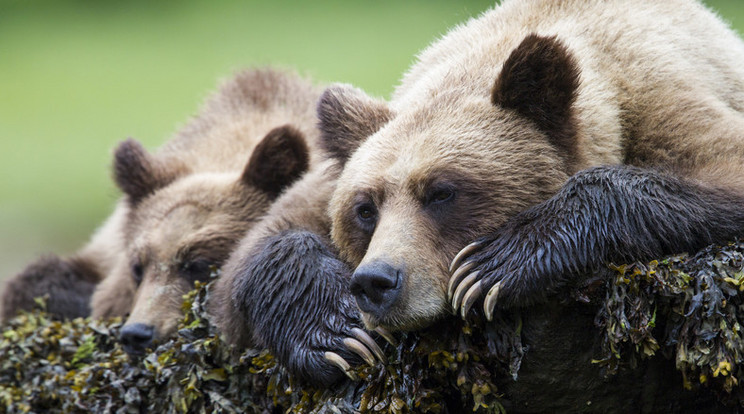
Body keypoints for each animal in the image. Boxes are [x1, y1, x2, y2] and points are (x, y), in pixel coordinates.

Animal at [222, 0, 744, 404]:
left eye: (442, 192)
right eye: (365, 208)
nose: (376, 281)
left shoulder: (661, 99)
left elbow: (721, 173)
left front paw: (492, 267)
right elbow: (248, 260)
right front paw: (337, 333)